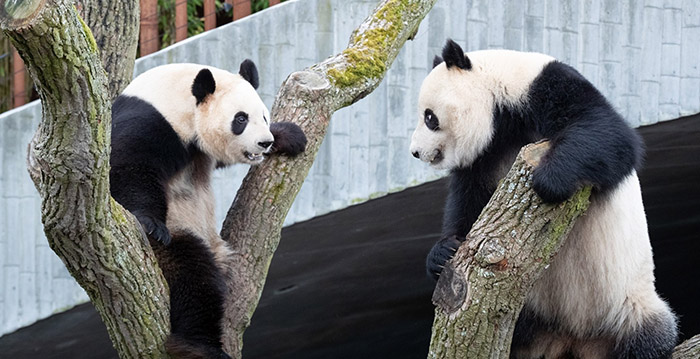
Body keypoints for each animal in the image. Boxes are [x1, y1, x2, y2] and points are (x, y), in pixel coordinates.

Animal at [110, 60, 306, 358]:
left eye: (263, 116)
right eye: (240, 119)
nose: (264, 142)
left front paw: (290, 136)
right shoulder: (150, 121)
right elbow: (126, 167)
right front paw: (149, 222)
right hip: (175, 237)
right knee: (195, 276)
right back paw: (196, 345)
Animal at [410, 40, 680, 359]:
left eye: (429, 117)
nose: (415, 152)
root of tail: (572, 339)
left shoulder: (546, 86)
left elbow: (609, 133)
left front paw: (550, 180)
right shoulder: (483, 156)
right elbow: (469, 203)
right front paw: (444, 252)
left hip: (630, 305)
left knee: (649, 335)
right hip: (531, 307)